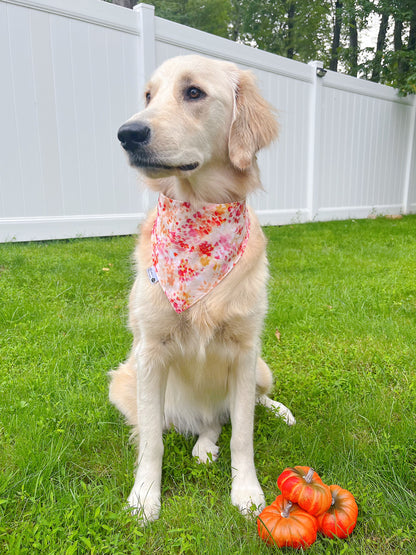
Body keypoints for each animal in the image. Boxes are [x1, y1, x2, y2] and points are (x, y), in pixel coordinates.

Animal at [109, 54, 294, 524]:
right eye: (148, 96)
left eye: (193, 92)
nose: (127, 134)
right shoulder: (149, 352)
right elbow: (152, 441)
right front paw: (145, 497)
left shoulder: (245, 351)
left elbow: (243, 433)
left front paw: (247, 491)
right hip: (125, 382)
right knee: (207, 422)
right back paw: (204, 444)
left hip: (262, 366)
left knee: (252, 404)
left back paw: (279, 413)